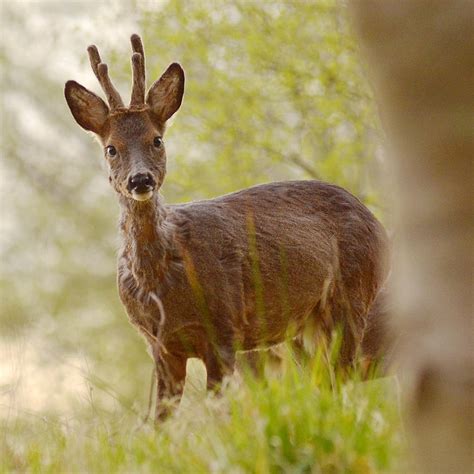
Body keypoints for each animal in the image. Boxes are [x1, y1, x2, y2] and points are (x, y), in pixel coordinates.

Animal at [63, 34, 388, 418]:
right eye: (111, 148)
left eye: (157, 139)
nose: (140, 180)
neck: (163, 277)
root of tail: (377, 223)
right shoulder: (160, 345)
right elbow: (158, 420)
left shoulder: (223, 329)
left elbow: (219, 414)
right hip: (304, 328)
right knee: (328, 385)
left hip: (351, 298)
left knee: (345, 381)